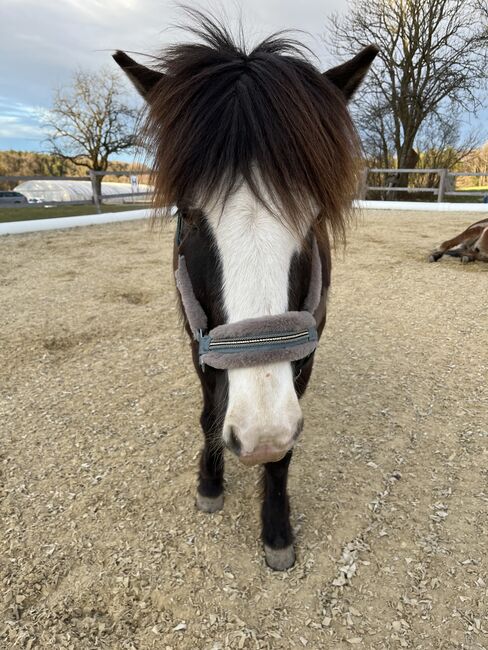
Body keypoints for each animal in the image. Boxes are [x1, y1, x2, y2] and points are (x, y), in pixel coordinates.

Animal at [113, 11, 378, 568]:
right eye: (189, 213)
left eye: (313, 218)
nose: (260, 433)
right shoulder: (197, 336)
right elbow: (209, 412)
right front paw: (210, 483)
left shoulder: (307, 346)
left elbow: (284, 454)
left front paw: (276, 530)